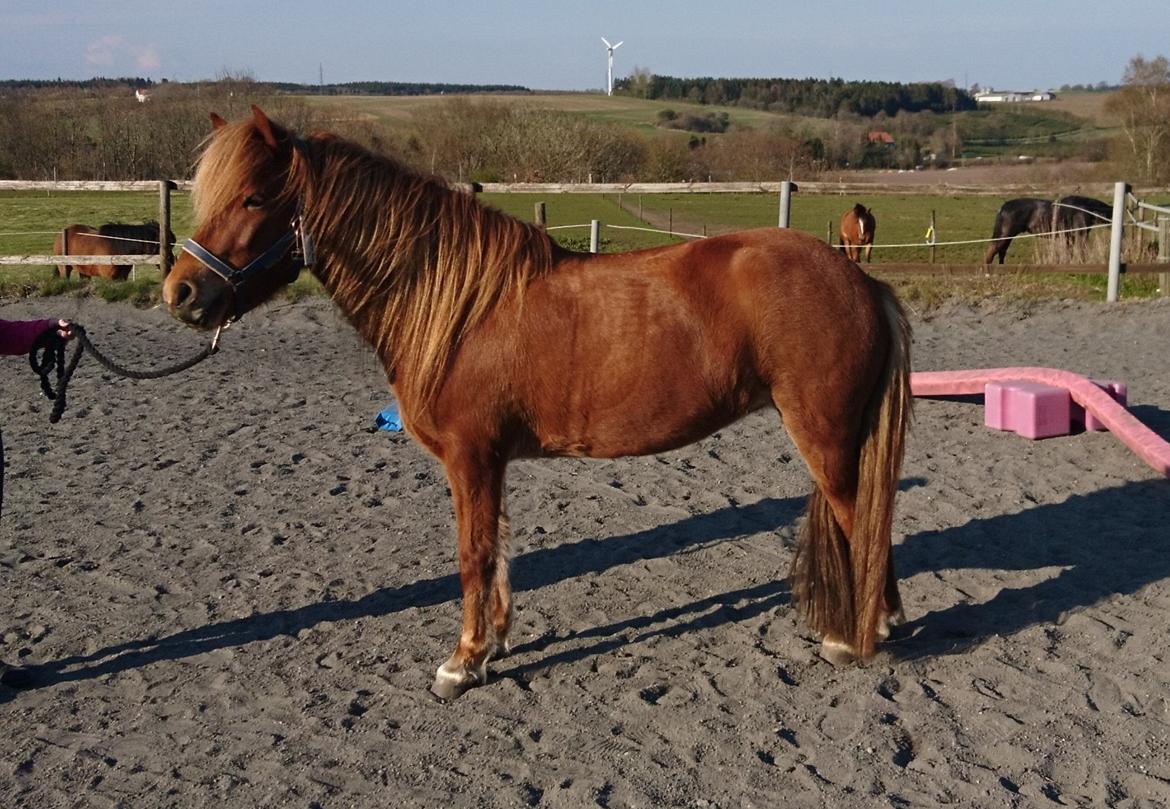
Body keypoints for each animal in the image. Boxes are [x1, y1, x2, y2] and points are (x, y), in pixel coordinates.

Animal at [162, 105, 912, 702]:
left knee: (862, 521)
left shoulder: (469, 457)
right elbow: (495, 551)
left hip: (826, 440)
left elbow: (472, 554)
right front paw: (491, 644)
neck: (461, 306)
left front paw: (461, 663)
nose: (181, 292)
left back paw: (859, 636)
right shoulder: (489, 461)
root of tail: (861, 281)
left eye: (253, 198)